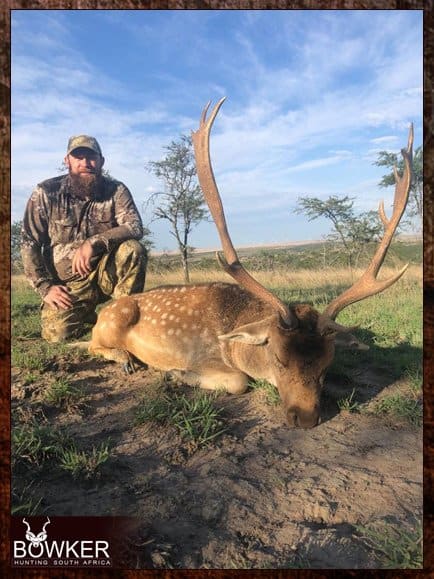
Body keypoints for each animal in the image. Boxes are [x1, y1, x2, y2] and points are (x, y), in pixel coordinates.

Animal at [84, 97, 414, 428]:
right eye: (279, 358)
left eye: (326, 364)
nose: (305, 418)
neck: (234, 336)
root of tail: (102, 314)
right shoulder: (205, 357)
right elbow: (239, 380)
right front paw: (174, 374)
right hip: (111, 323)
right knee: (91, 344)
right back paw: (127, 358)